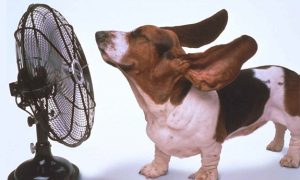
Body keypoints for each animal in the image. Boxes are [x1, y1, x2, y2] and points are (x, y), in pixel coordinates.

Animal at [96, 9, 300, 180]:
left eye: (141, 35)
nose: (98, 34)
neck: (164, 109)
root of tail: (291, 74)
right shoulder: (160, 143)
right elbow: (160, 154)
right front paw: (156, 170)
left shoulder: (212, 145)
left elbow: (209, 161)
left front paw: (203, 176)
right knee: (279, 126)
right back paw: (276, 145)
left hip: (293, 118)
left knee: (294, 137)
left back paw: (290, 159)